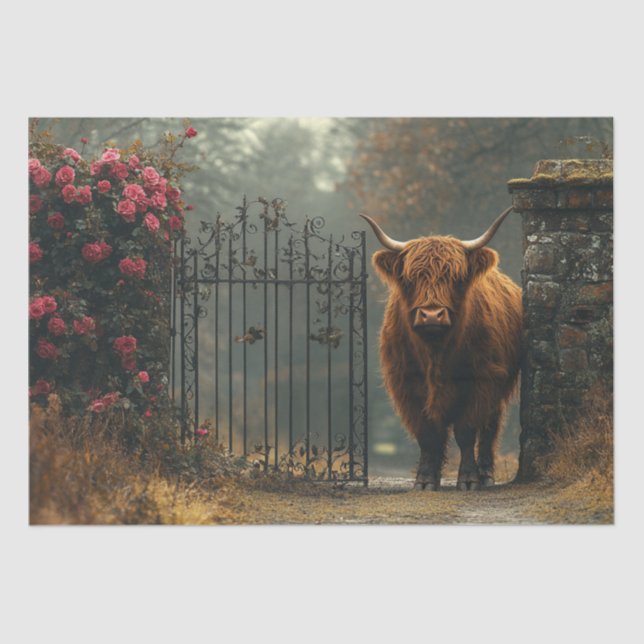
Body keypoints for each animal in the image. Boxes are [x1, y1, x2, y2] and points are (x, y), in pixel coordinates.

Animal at [361, 207, 522, 491]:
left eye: (455, 277)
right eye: (411, 278)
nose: (432, 315)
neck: (435, 353)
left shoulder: (481, 380)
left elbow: (466, 431)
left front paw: (468, 479)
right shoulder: (406, 384)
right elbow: (427, 434)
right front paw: (426, 479)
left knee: (490, 427)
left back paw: (486, 474)